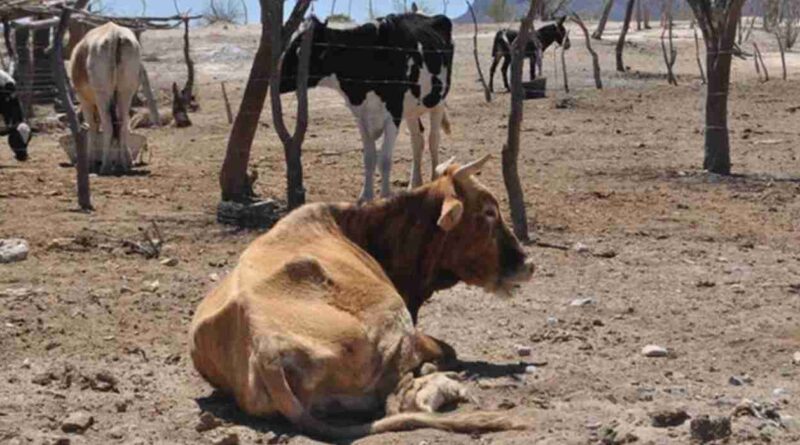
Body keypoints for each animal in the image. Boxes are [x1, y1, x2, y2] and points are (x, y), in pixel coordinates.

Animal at [191, 155, 536, 438]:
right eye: (488, 212)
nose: (528, 263)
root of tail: (267, 351)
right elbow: (447, 349)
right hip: (393, 319)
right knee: (402, 400)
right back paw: (445, 383)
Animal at [282, 13, 454, 201]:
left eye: (299, 51)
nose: (277, 78)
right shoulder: (361, 116)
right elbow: (369, 157)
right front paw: (365, 196)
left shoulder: (393, 113)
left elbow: (384, 159)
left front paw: (385, 196)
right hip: (411, 109)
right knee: (417, 140)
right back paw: (414, 184)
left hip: (437, 101)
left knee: (433, 139)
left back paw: (434, 180)